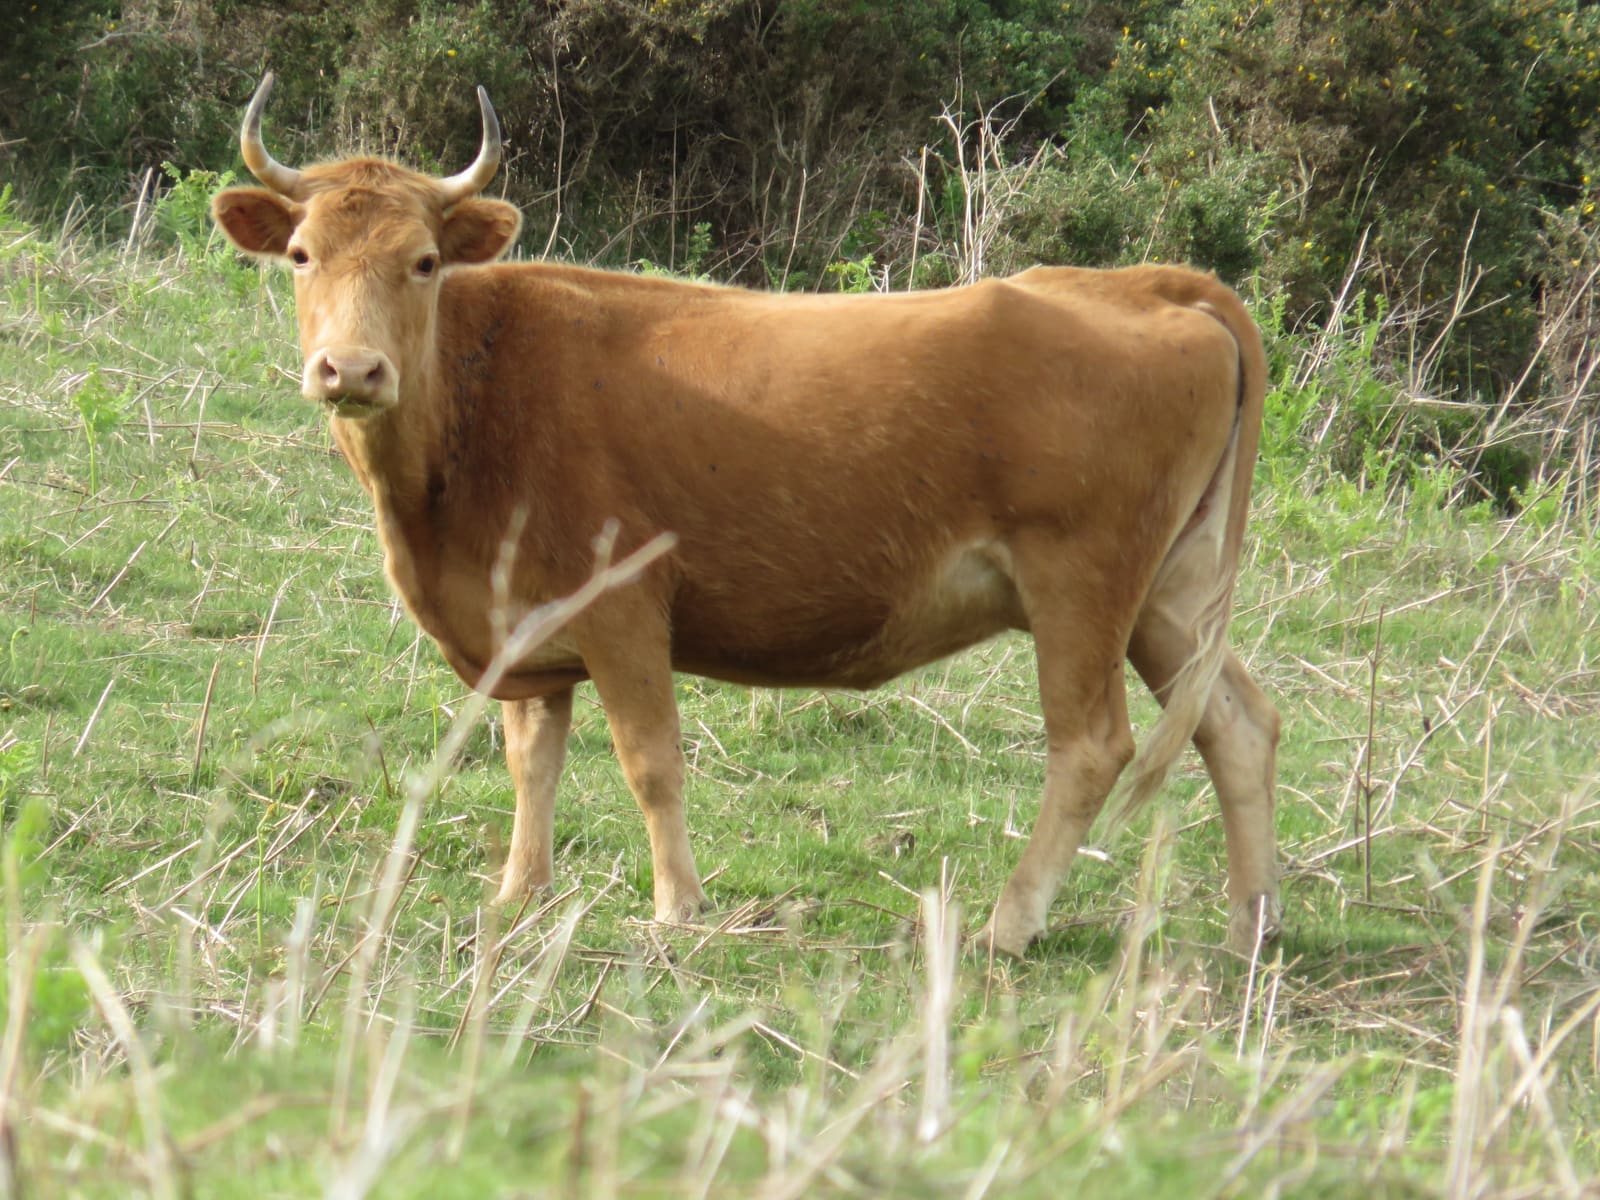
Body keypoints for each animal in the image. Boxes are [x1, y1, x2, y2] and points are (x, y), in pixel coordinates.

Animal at [211, 75, 1280, 957]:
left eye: (426, 261)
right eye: (300, 255)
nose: (352, 370)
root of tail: (1144, 283)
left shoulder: (624, 604)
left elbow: (649, 759)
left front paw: (676, 908)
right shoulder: (521, 619)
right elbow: (530, 759)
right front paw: (520, 893)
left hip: (1083, 585)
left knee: (1093, 745)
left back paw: (1010, 926)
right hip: (1169, 593)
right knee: (1237, 722)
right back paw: (1247, 930)